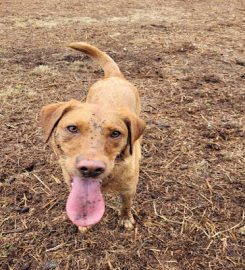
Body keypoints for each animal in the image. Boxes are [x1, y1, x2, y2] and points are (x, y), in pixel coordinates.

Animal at [40, 42, 145, 230]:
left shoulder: (129, 188)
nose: (90, 168)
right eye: (72, 128)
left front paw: (126, 218)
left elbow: (126, 204)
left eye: (116, 133)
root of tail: (113, 76)